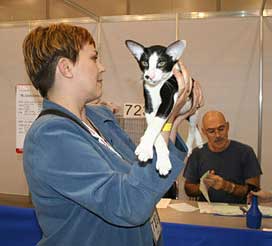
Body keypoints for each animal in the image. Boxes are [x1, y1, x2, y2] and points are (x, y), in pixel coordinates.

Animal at [125, 40, 202, 175]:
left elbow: (156, 123)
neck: (156, 87)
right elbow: (154, 126)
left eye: (161, 63)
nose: (149, 76)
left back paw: (189, 146)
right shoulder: (149, 106)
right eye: (144, 63)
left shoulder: (169, 93)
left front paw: (145, 148)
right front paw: (161, 159)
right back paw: (199, 141)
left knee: (193, 126)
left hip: (194, 106)